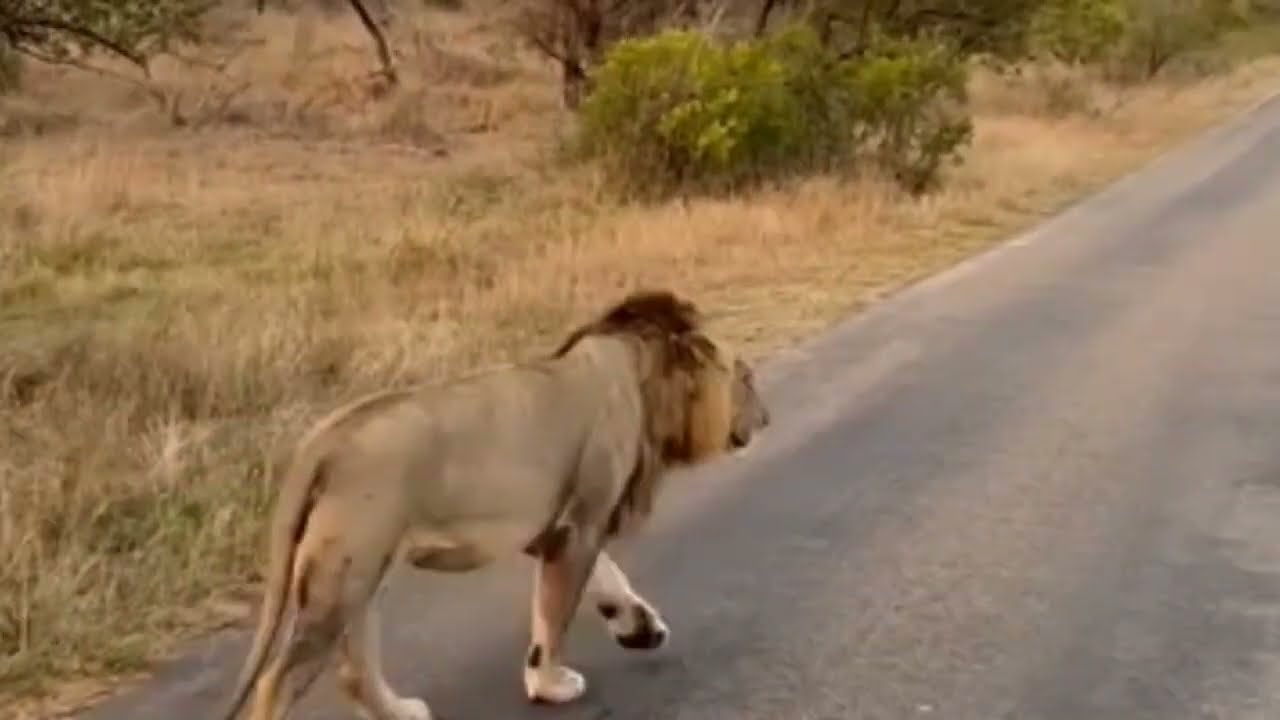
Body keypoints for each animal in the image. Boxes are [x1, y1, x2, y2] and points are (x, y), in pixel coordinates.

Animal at [215, 289, 771, 720]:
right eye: (744, 378)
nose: (767, 418)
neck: (635, 367)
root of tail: (323, 440)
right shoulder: (581, 522)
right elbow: (556, 610)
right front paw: (550, 684)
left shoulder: (550, 526)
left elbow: (606, 580)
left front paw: (642, 629)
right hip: (343, 577)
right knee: (278, 682)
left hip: (362, 573)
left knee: (352, 670)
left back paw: (400, 711)